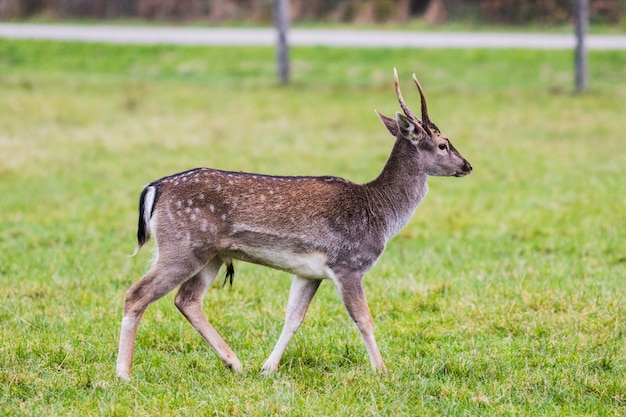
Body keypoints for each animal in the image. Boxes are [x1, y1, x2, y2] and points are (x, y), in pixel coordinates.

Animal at [114, 69, 470, 380]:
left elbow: (293, 318)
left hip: (209, 255)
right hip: (182, 245)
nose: (467, 165)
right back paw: (123, 374)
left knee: (186, 299)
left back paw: (235, 363)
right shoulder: (348, 264)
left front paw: (267, 368)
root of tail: (154, 189)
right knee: (136, 294)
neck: (379, 214)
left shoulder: (309, 272)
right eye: (443, 144)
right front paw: (382, 371)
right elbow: (363, 319)